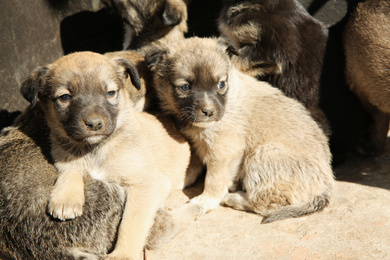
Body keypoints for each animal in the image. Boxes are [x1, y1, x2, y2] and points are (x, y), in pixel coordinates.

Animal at [146, 37, 336, 223]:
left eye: (221, 84)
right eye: (185, 87)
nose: (208, 112)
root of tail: (325, 187)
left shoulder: (224, 152)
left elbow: (213, 180)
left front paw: (205, 201)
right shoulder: (198, 144)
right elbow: (192, 166)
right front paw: (182, 180)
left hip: (263, 155)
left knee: (264, 202)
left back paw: (231, 197)